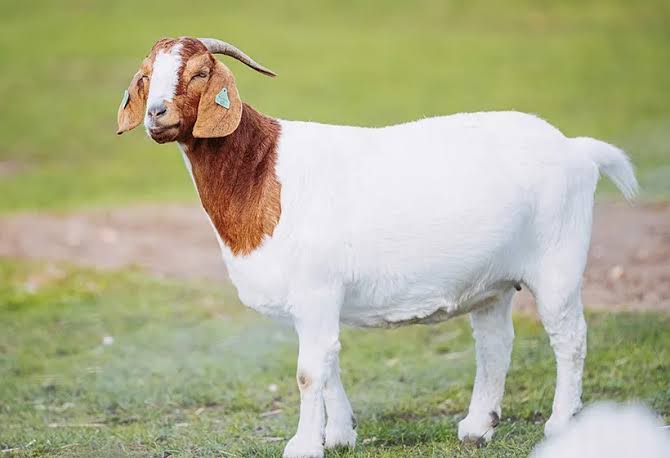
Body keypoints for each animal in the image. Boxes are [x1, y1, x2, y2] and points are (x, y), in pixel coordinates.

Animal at [117, 37, 638, 458]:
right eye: (145, 77)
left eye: (200, 72)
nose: (156, 114)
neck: (263, 172)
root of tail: (576, 148)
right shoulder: (313, 301)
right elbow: (327, 362)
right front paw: (339, 436)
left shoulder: (316, 289)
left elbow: (310, 370)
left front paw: (304, 445)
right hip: (492, 280)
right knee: (495, 343)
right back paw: (477, 427)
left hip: (558, 263)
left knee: (570, 338)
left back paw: (560, 426)